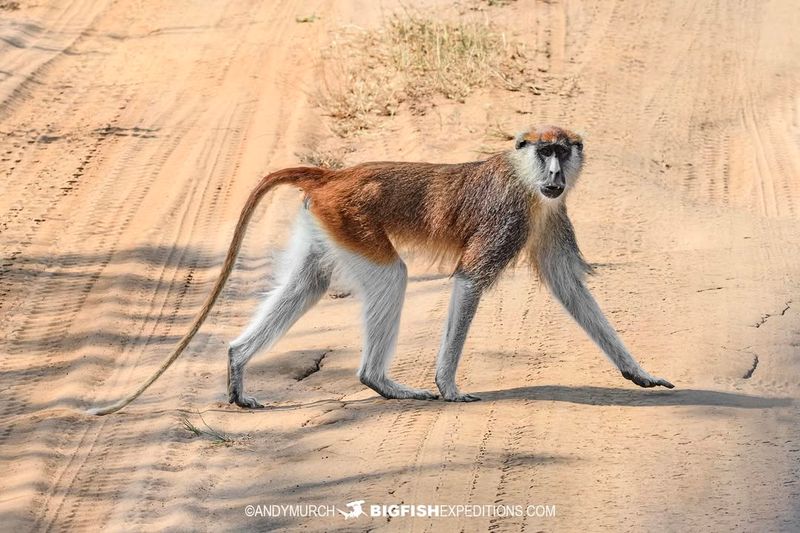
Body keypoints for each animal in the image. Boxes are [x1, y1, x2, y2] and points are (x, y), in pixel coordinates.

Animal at [87, 125, 672, 416]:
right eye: (545, 150)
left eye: (563, 152)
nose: (555, 170)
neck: (524, 179)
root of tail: (333, 176)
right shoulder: (510, 215)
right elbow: (469, 279)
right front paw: (448, 387)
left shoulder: (550, 214)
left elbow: (571, 288)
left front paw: (637, 373)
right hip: (353, 219)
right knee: (391, 277)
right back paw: (380, 382)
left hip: (329, 222)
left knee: (310, 282)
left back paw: (236, 365)